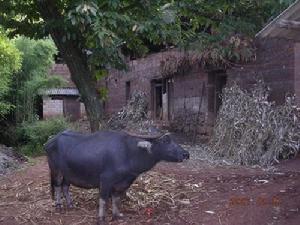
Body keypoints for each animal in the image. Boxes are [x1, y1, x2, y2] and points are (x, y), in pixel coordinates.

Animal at [44, 130, 190, 223]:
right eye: (165, 142)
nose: (186, 154)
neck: (128, 153)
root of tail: (50, 141)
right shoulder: (105, 180)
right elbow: (103, 200)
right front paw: (101, 218)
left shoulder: (121, 184)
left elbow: (116, 199)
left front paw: (117, 215)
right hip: (56, 170)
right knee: (57, 186)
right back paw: (58, 205)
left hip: (68, 173)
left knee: (65, 186)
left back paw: (70, 204)